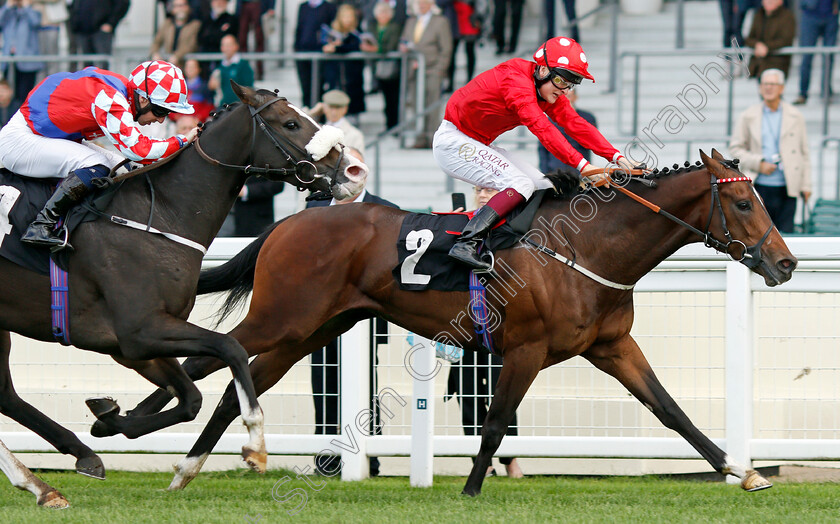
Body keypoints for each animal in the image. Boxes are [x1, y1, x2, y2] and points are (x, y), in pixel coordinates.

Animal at [0, 83, 368, 508]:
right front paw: (256, 443)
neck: (158, 214)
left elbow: (190, 399)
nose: (355, 171)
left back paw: (51, 478)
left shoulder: (136, 344)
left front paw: (108, 419)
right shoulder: (139, 331)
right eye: (291, 123)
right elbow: (230, 348)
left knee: (6, 395)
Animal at [124, 149, 796, 494]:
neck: (587, 246)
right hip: (283, 317)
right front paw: (472, 491)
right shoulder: (524, 347)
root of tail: (290, 220)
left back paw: (182, 463)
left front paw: (741, 472)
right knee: (214, 352)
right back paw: (128, 421)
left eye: (763, 197)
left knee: (233, 381)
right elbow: (496, 422)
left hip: (312, 329)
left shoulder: (611, 345)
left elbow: (672, 411)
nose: (786, 263)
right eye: (742, 202)